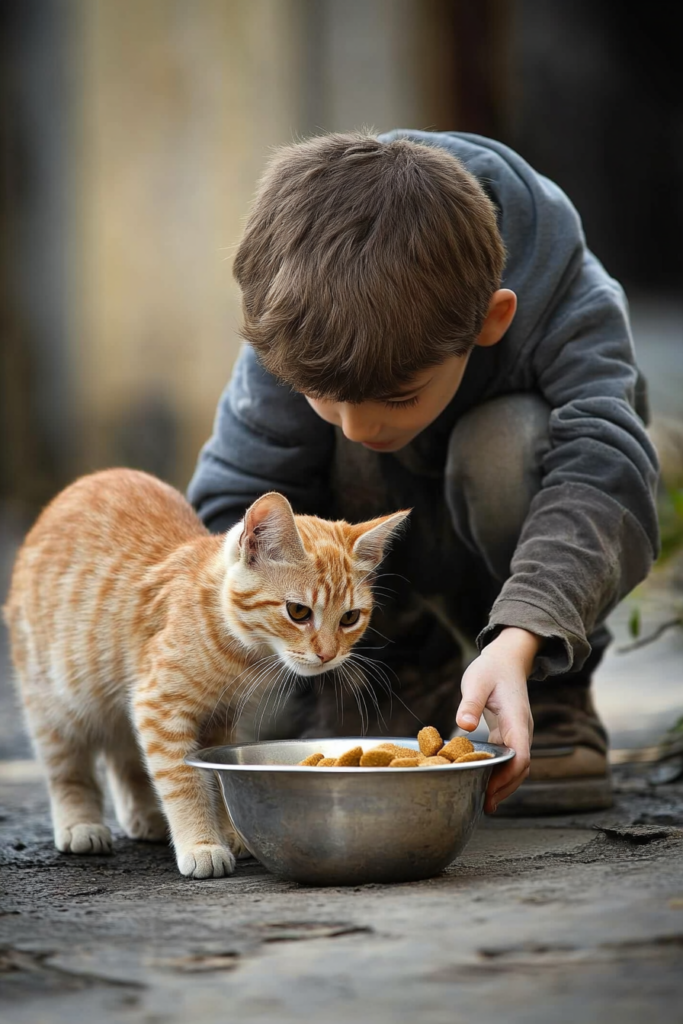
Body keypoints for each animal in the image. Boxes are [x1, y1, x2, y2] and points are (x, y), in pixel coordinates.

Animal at [2, 471, 409, 880]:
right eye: (298, 611)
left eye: (350, 618)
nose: (327, 654)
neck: (240, 650)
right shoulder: (159, 707)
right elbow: (184, 782)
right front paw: (202, 843)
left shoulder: (219, 719)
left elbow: (215, 776)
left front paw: (228, 831)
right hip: (55, 700)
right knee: (67, 767)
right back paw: (79, 823)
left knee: (123, 754)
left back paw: (144, 817)